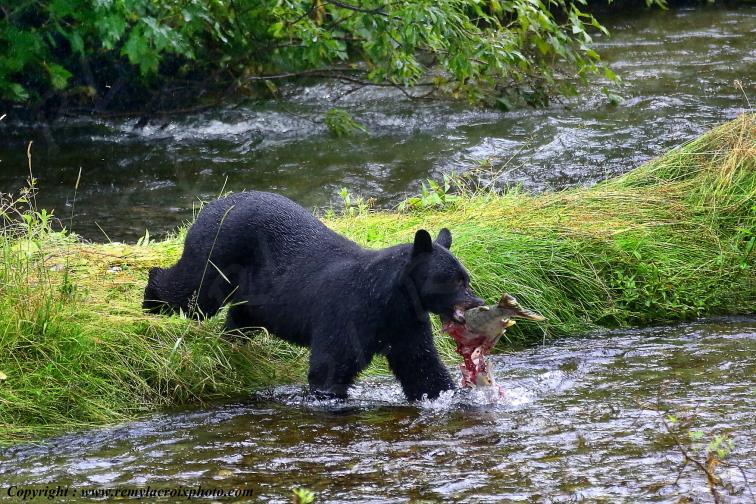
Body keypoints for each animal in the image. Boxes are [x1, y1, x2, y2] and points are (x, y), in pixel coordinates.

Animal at [143, 191, 484, 401]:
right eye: (455, 281)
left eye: (466, 278)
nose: (477, 302)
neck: (389, 298)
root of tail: (212, 205)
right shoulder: (348, 312)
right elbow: (331, 365)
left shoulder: (404, 324)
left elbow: (421, 366)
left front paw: (448, 395)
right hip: (217, 253)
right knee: (191, 291)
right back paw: (149, 303)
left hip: (257, 293)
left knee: (240, 315)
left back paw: (231, 340)